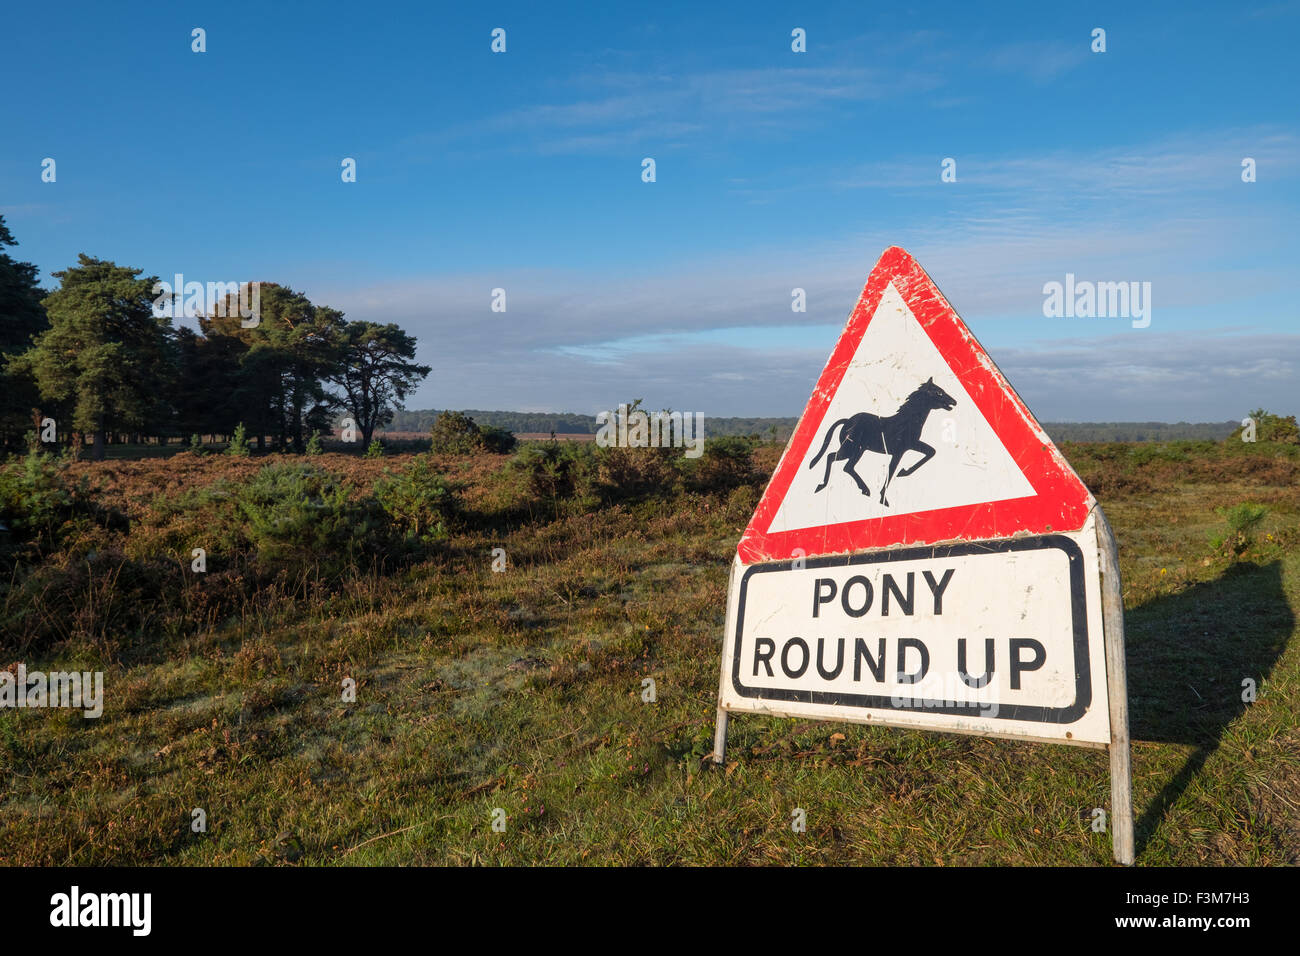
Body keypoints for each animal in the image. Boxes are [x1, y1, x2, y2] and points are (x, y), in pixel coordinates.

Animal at [807, 377, 956, 507]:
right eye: (939, 392)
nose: (954, 402)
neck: (906, 422)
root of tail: (847, 421)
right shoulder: (900, 451)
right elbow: (891, 471)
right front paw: (884, 498)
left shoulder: (912, 445)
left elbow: (931, 451)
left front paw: (903, 472)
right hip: (851, 449)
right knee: (833, 458)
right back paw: (823, 486)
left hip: (858, 450)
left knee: (845, 465)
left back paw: (863, 490)